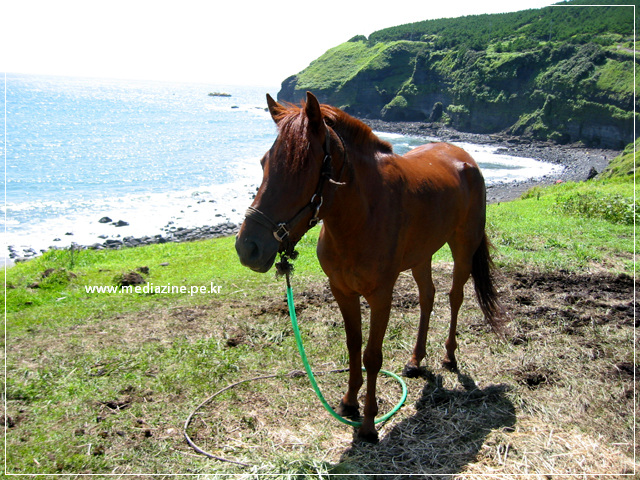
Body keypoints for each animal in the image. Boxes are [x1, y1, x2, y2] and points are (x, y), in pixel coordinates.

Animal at [236, 91, 504, 442]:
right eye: (264, 163)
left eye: (302, 168)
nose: (248, 247)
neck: (360, 217)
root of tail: (464, 157)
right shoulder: (342, 291)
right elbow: (353, 347)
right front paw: (350, 401)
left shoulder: (381, 295)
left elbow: (372, 356)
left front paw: (368, 424)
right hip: (421, 255)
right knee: (427, 297)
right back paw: (415, 360)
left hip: (463, 247)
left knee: (454, 296)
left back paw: (448, 355)